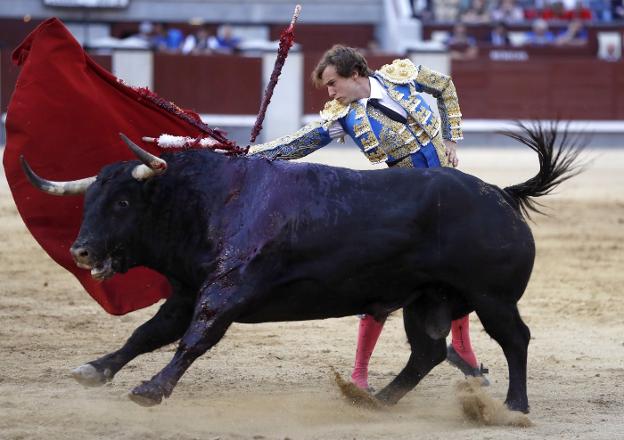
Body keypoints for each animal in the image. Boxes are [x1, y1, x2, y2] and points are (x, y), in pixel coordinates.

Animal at [20, 122, 584, 410]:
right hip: (425, 298)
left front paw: (151, 390)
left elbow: (195, 337)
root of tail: (502, 195)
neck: (209, 200)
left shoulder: (228, 289)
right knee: (426, 350)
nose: (81, 251)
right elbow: (148, 333)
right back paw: (376, 400)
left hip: (493, 298)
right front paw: (95, 370)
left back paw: (515, 406)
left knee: (514, 339)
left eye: (122, 203)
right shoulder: (186, 290)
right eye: (90, 200)